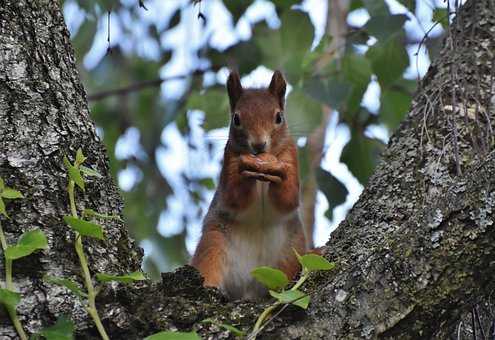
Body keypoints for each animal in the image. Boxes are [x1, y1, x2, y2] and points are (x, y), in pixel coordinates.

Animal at [191, 69, 310, 300]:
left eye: (279, 117)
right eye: (236, 119)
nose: (258, 145)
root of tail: (248, 291)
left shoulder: (291, 155)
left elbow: (289, 198)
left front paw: (279, 173)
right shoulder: (229, 160)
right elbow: (233, 198)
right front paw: (245, 173)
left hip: (291, 253)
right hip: (213, 244)